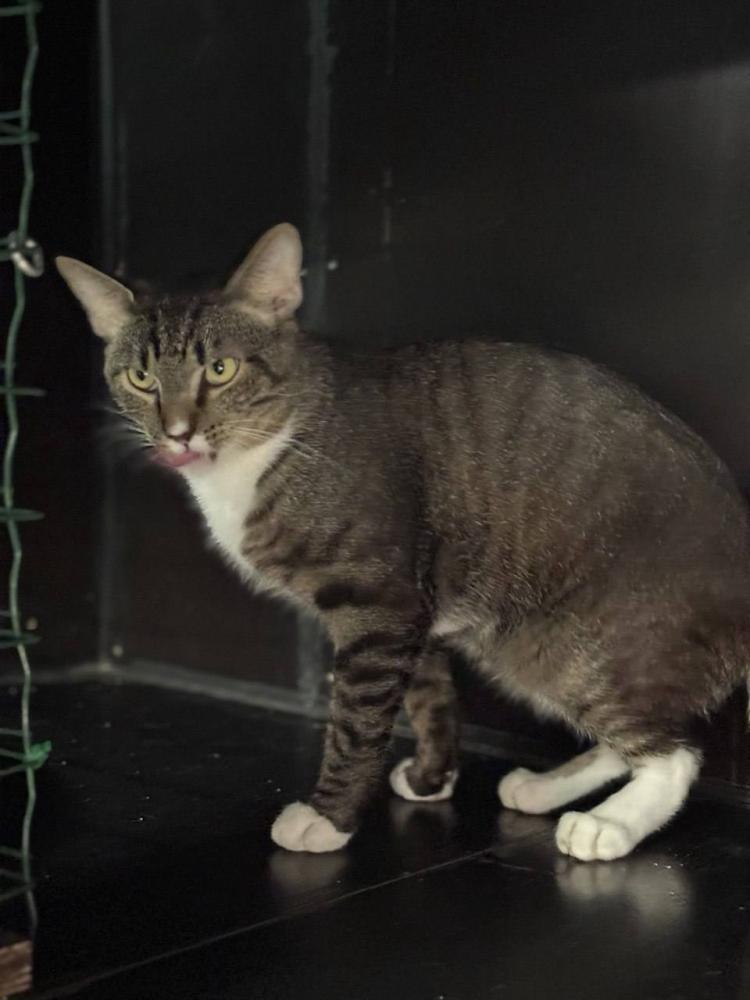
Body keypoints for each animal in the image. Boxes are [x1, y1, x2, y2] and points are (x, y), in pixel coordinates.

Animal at [57, 223, 750, 861]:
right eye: (141, 378)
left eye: (220, 369)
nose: (176, 433)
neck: (268, 444)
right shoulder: (418, 603)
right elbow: (428, 693)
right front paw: (431, 776)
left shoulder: (378, 600)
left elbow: (358, 722)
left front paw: (327, 819)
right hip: (523, 646)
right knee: (628, 737)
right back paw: (543, 788)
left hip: (585, 640)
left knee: (673, 753)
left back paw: (607, 826)